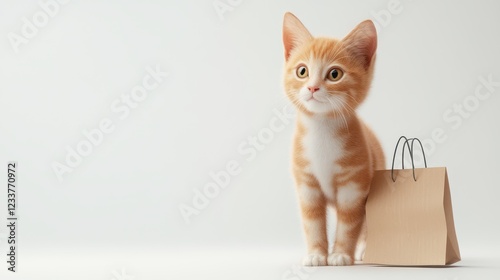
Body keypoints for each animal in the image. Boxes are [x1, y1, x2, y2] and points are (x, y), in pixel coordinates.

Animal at [284, 13, 384, 266]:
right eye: (302, 71)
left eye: (334, 74)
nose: (312, 87)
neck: (321, 130)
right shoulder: (306, 183)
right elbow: (312, 222)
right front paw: (316, 254)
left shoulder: (354, 185)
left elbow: (349, 222)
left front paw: (340, 254)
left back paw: (364, 250)